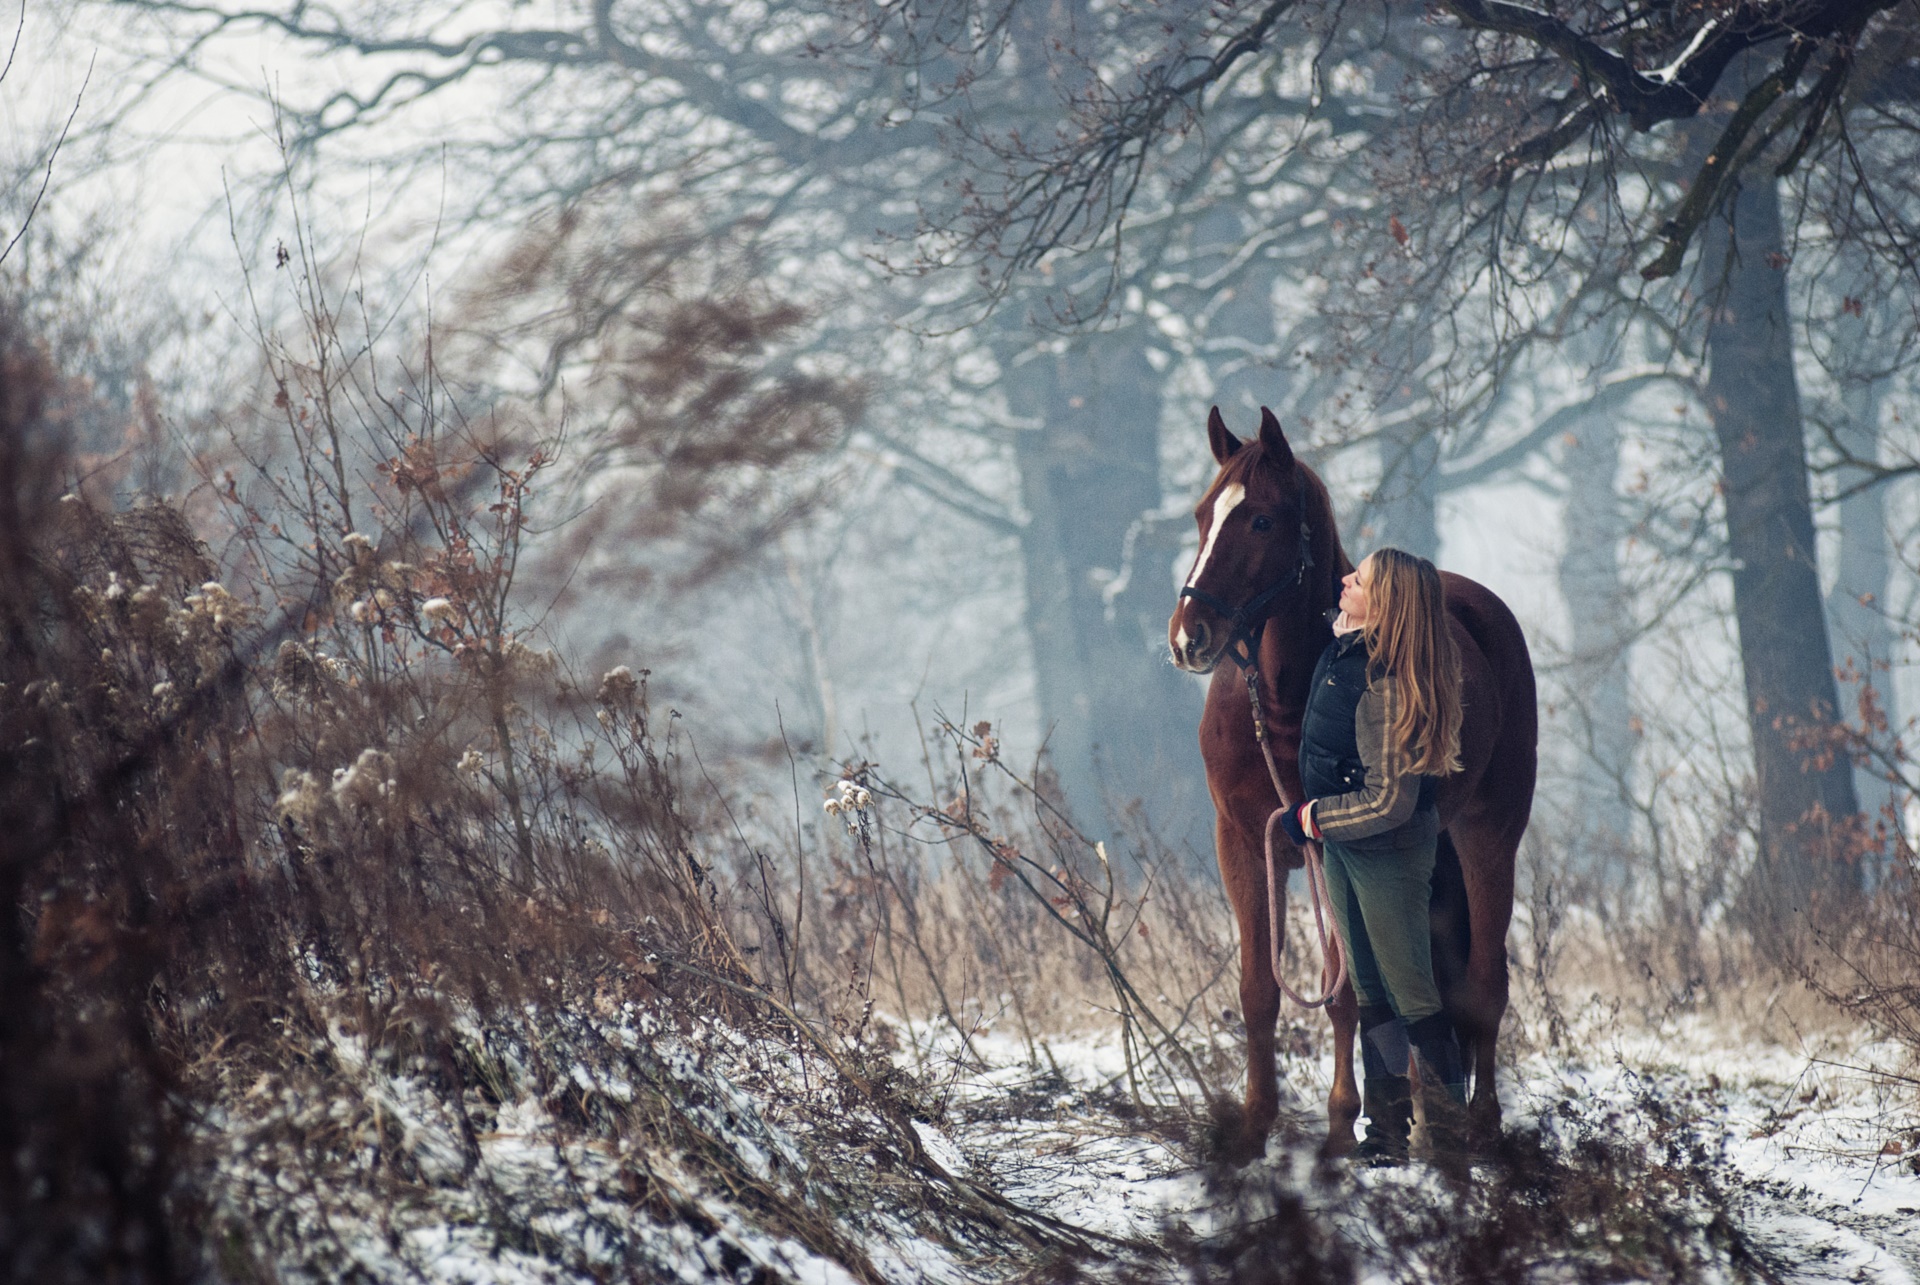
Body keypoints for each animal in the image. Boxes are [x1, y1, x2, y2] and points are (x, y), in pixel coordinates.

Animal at [1168, 405, 1537, 1161]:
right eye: (1201, 514)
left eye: (1261, 520)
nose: (1189, 637)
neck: (1288, 702)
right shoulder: (1243, 845)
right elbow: (1259, 988)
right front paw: (1254, 1126)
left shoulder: (1327, 846)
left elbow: (1342, 994)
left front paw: (1341, 1125)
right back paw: (1429, 1117)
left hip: (1489, 836)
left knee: (1484, 983)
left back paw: (1478, 1129)